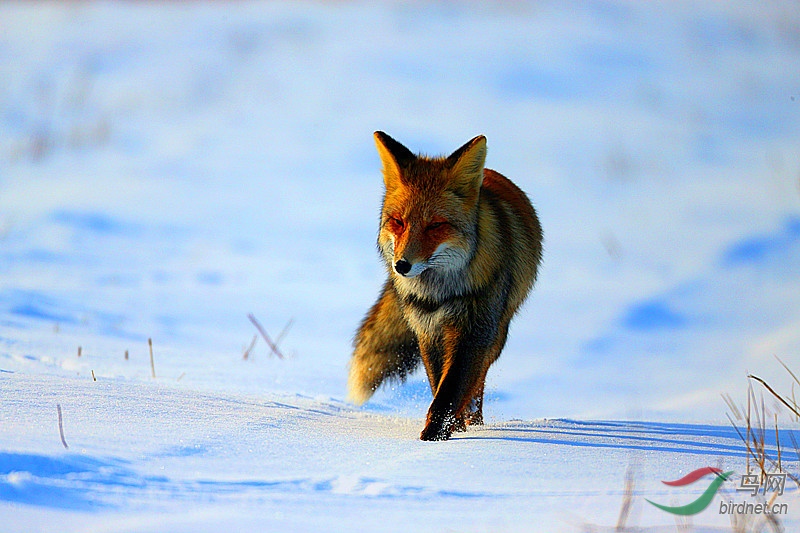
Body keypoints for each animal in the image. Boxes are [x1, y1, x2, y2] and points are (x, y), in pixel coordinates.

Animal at [346, 132, 544, 440]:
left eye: (435, 225)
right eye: (398, 221)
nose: (401, 266)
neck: (439, 294)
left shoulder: (474, 331)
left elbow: (450, 393)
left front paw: (434, 439)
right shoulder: (428, 332)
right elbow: (439, 385)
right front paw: (449, 433)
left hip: (496, 334)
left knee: (479, 381)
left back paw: (474, 422)